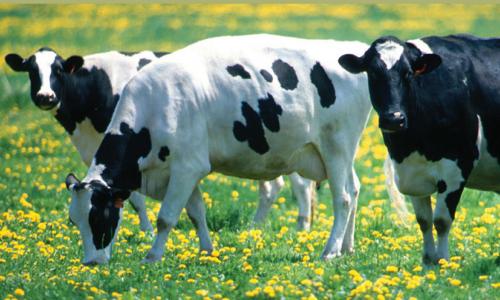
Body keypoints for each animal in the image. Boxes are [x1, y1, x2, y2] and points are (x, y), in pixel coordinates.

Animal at [65, 34, 372, 264]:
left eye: (98, 216)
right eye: (74, 221)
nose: (90, 263)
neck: (154, 107)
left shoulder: (187, 167)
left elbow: (166, 217)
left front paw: (152, 257)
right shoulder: (183, 170)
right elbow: (196, 213)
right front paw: (206, 250)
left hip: (336, 146)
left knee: (343, 198)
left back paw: (330, 250)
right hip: (341, 154)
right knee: (355, 189)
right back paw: (347, 247)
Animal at [338, 34, 500, 264]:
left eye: (408, 73)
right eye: (373, 73)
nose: (393, 118)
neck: (411, 145)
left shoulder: (457, 167)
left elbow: (441, 220)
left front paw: (443, 261)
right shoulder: (412, 174)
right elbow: (424, 220)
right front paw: (428, 261)